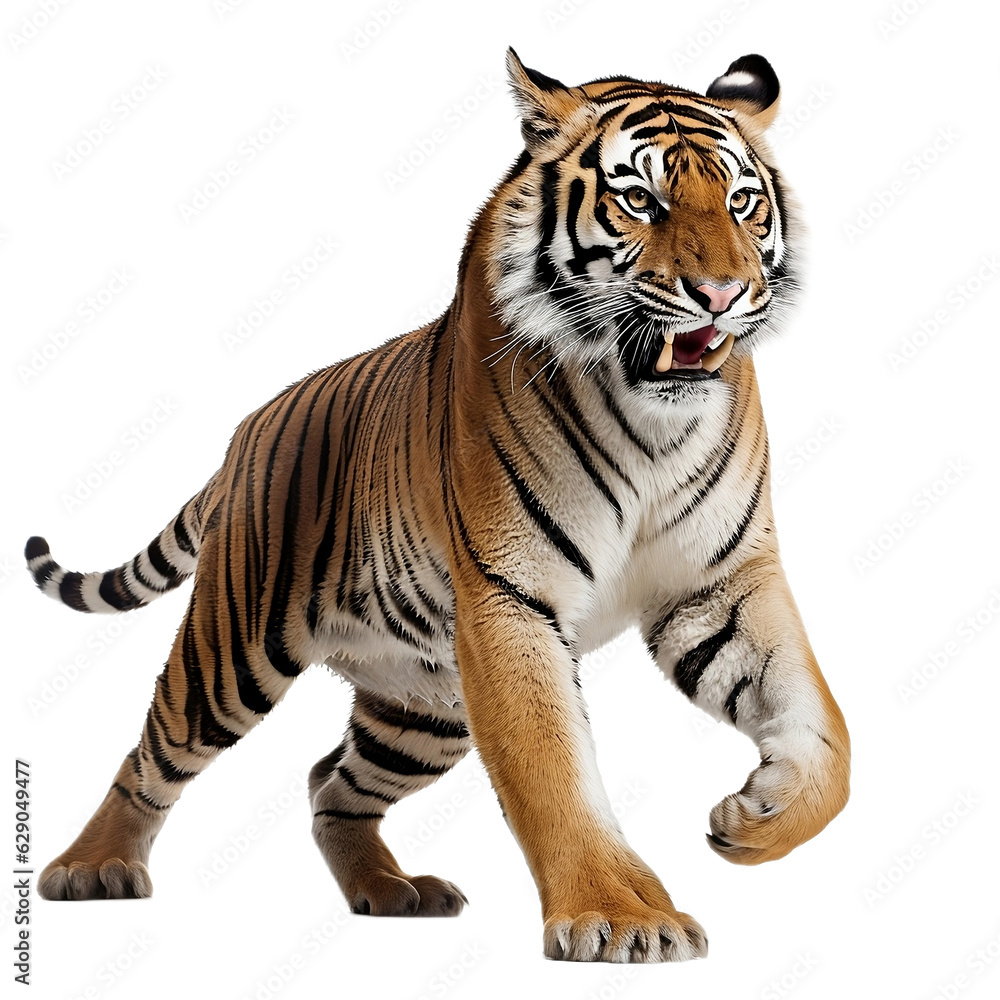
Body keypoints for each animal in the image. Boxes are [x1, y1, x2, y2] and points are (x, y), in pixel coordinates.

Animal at [25, 49, 850, 964]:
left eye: (741, 202)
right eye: (641, 200)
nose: (722, 292)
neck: (653, 422)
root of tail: (244, 433)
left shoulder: (719, 588)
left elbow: (829, 738)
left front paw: (758, 815)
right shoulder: (509, 600)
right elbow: (551, 771)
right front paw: (619, 917)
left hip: (424, 706)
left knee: (330, 782)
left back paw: (390, 892)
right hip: (230, 654)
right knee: (149, 757)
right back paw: (91, 869)